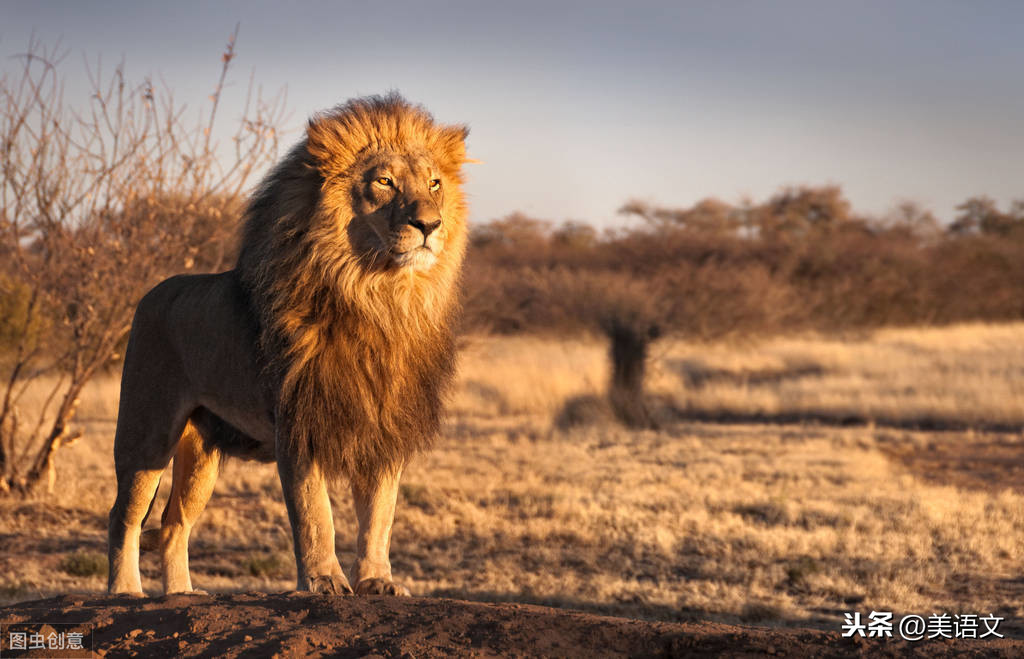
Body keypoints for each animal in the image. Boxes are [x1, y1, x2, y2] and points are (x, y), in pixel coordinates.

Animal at [107, 94, 468, 597]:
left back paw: (181, 594)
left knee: (174, 522)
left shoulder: (384, 425)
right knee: (124, 515)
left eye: (434, 183)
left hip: (201, 453)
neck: (379, 297)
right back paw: (124, 591)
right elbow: (315, 513)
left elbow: (380, 515)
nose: (430, 224)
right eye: (384, 181)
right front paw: (324, 580)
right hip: (147, 431)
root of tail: (152, 292)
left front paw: (377, 581)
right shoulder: (298, 421)